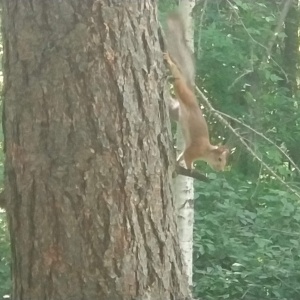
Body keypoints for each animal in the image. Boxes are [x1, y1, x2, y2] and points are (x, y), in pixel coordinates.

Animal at [163, 11, 229, 171]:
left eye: (225, 162)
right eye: (219, 159)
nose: (221, 170)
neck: (206, 150)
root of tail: (192, 93)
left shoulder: (189, 149)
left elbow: (182, 155)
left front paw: (177, 163)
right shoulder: (194, 150)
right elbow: (187, 158)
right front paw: (190, 168)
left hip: (176, 111)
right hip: (182, 91)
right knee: (178, 77)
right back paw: (169, 61)